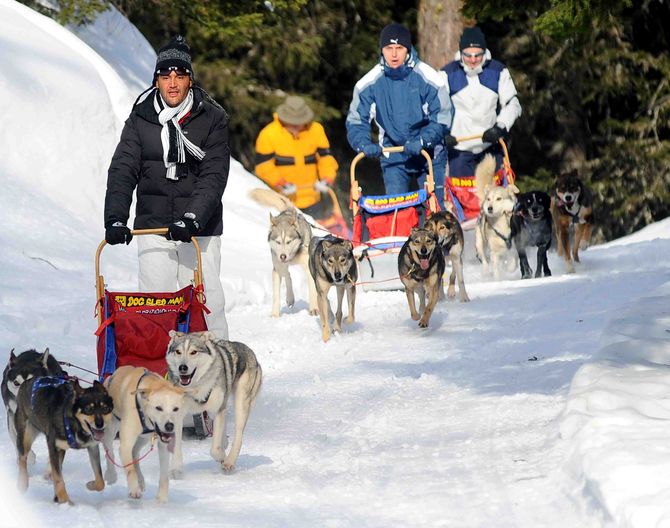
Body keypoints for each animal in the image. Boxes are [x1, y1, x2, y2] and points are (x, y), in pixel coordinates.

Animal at [14, 378, 113, 506]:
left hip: (60, 450)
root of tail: (27, 382)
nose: (99, 424)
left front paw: (91, 485)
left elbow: (100, 480)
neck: (75, 425)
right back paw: (23, 483)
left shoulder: (92, 447)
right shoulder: (53, 447)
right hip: (25, 438)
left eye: (105, 409)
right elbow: (58, 478)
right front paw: (64, 500)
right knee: (22, 458)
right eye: (88, 409)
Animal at [102, 366, 186, 502]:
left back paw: (140, 479)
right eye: (158, 408)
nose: (170, 426)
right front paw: (134, 489)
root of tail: (112, 374)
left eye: (175, 409)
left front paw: (162, 498)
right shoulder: (125, 445)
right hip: (111, 429)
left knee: (135, 453)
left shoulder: (163, 446)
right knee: (109, 450)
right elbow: (130, 469)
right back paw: (111, 475)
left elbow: (164, 475)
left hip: (144, 438)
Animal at [165, 330, 262, 474]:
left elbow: (214, 449)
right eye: (178, 351)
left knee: (238, 436)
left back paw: (229, 461)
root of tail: (249, 351)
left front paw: (222, 457)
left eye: (194, 352)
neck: (195, 388)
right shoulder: (177, 415)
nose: (183, 367)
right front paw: (175, 468)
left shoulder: (218, 410)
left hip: (241, 402)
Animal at [249, 188, 320, 316]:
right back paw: (290, 298)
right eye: (278, 242)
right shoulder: (277, 269)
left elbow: (312, 290)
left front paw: (314, 309)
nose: (283, 256)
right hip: (279, 266)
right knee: (287, 275)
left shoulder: (308, 268)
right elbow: (276, 294)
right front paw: (275, 314)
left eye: (288, 242)